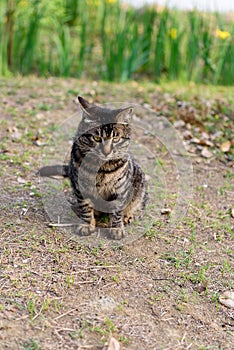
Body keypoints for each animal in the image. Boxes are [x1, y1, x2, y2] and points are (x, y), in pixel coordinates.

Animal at [39, 97, 147, 239]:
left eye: (116, 138)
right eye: (96, 138)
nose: (106, 152)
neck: (101, 167)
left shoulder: (120, 188)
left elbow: (117, 210)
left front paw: (117, 228)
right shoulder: (80, 187)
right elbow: (85, 208)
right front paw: (86, 225)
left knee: (140, 203)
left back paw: (129, 215)